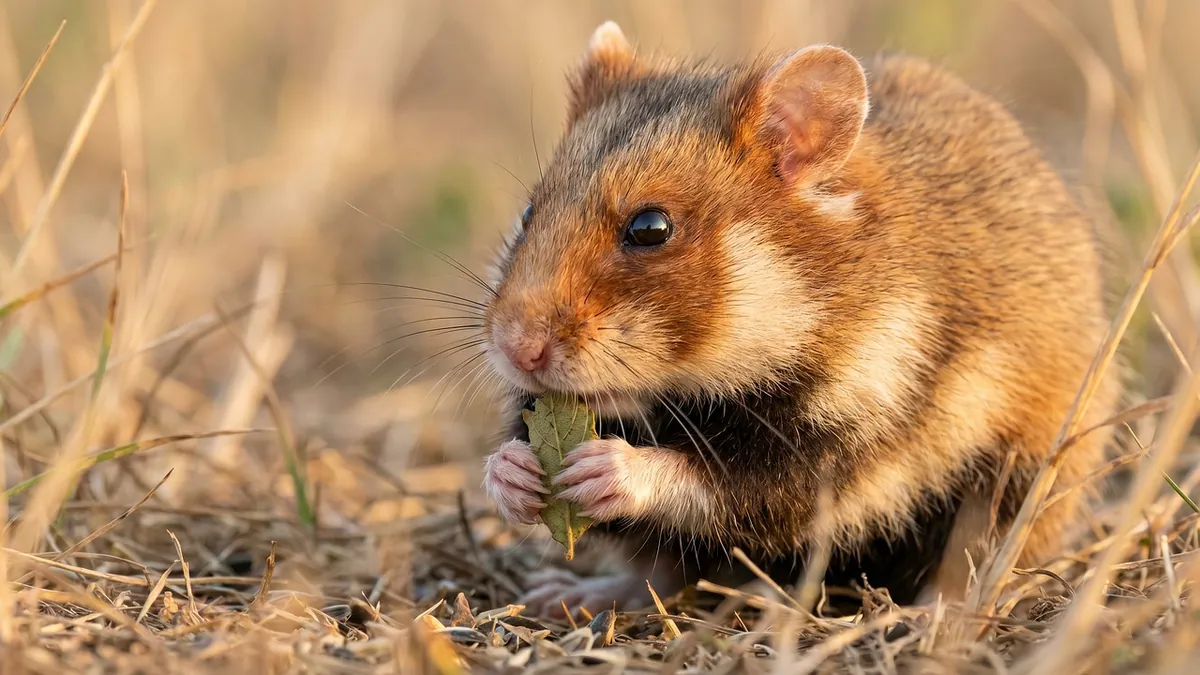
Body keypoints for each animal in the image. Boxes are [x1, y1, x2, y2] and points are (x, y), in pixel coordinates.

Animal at [479, 21, 1120, 618]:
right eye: (529, 212)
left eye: (651, 228)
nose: (517, 351)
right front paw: (512, 473)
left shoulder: (847, 448)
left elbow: (723, 487)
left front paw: (603, 467)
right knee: (655, 572)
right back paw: (562, 595)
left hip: (1022, 478)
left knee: (974, 563)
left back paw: (931, 617)